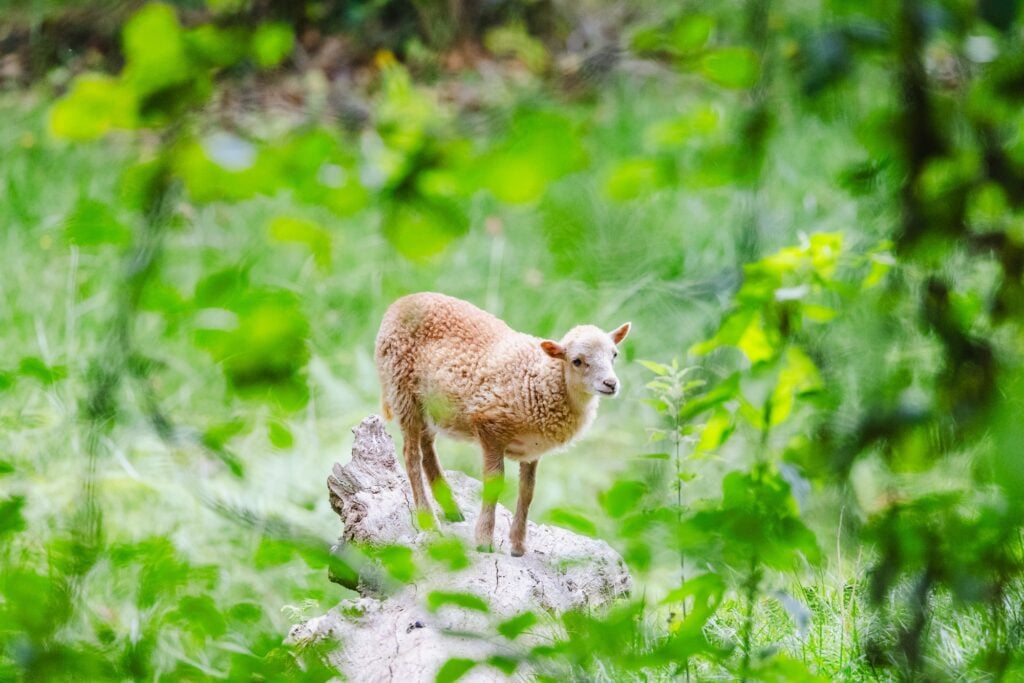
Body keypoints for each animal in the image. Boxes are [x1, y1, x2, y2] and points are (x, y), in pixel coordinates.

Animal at [375, 291, 631, 556]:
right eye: (577, 361)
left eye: (614, 354)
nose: (611, 384)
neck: (540, 380)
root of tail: (403, 300)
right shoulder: (490, 427)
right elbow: (494, 484)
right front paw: (484, 540)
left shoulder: (532, 449)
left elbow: (527, 492)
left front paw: (518, 545)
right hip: (403, 391)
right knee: (411, 455)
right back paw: (430, 522)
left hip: (432, 407)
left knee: (427, 449)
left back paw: (451, 508)